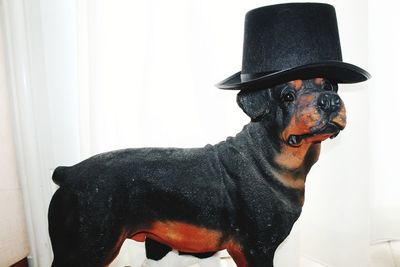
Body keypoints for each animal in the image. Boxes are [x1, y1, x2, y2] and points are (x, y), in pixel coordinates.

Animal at [47, 78, 346, 267]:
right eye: (287, 96)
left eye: (329, 85)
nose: (331, 100)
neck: (266, 157)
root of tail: (68, 173)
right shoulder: (255, 248)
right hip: (86, 248)